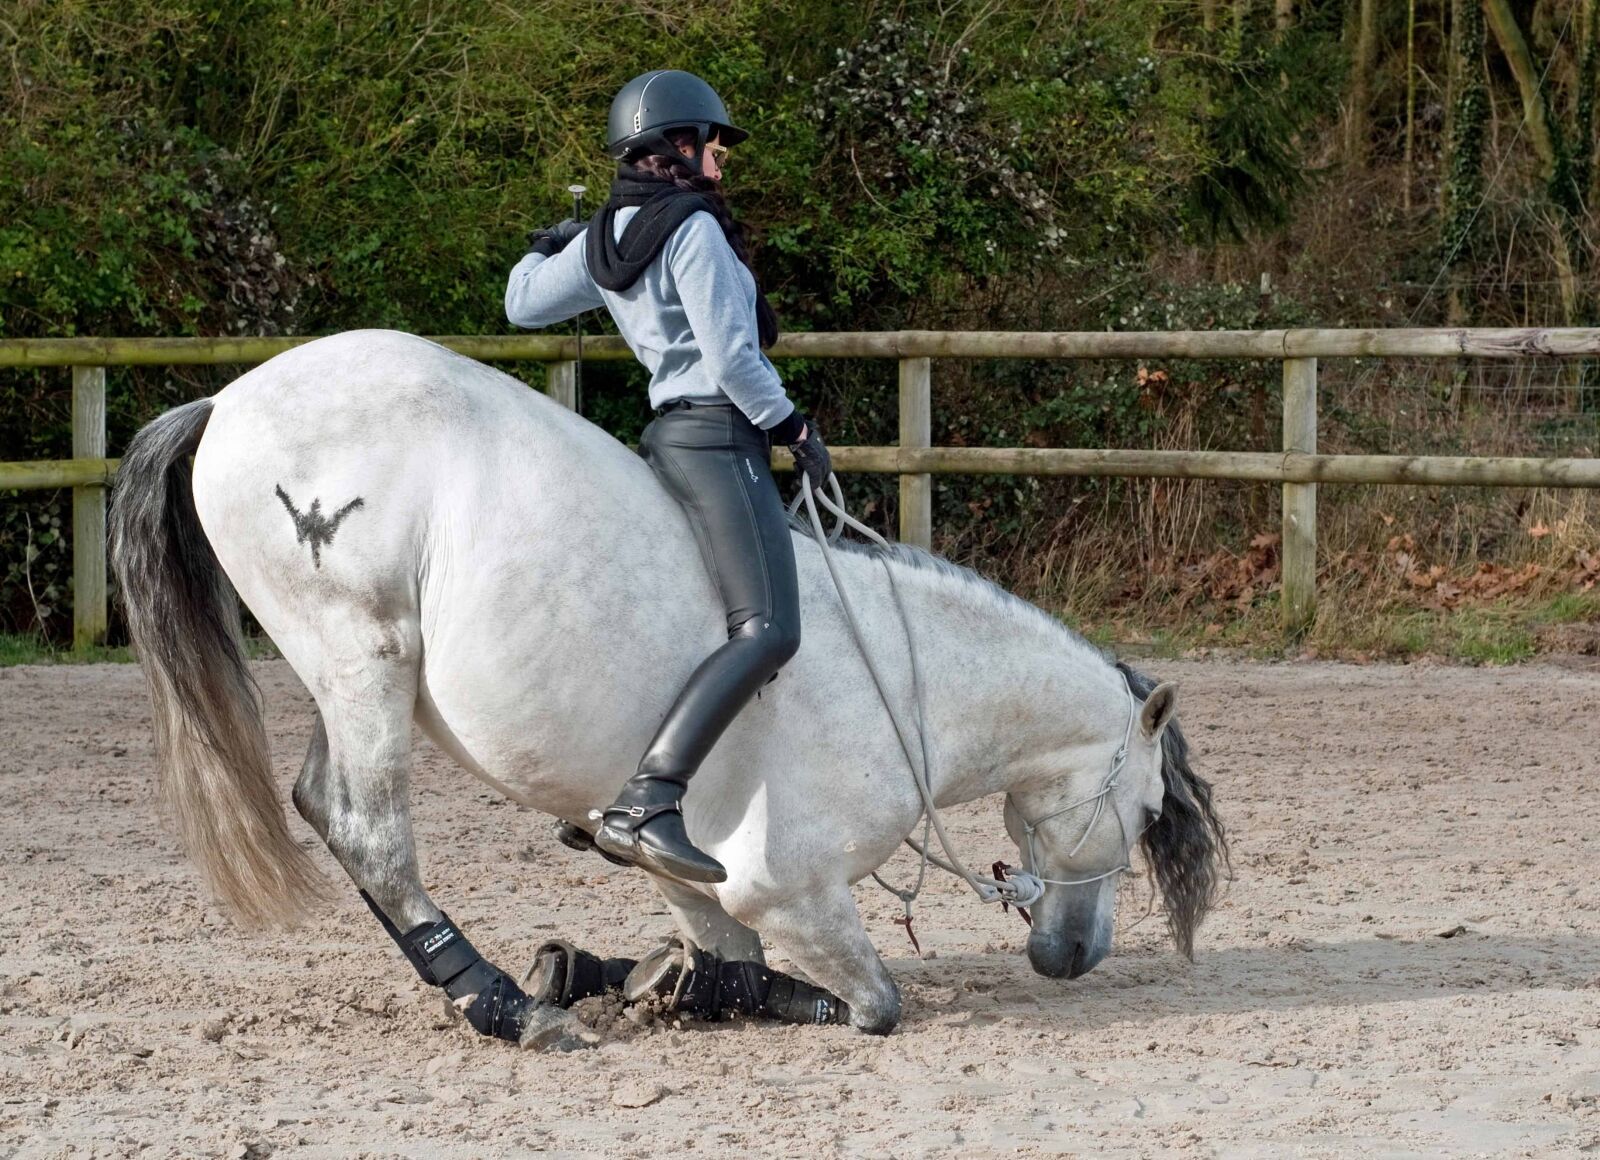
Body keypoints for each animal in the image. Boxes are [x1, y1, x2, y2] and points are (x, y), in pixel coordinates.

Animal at [108, 328, 1226, 1047]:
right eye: (1147, 812)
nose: (1074, 953)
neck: (914, 689)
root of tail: (229, 400)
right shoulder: (794, 892)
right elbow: (867, 1002)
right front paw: (643, 983)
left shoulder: (697, 886)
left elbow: (718, 961)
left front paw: (634, 974)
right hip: (362, 654)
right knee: (369, 832)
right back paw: (506, 1009)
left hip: (340, 672)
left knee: (322, 805)